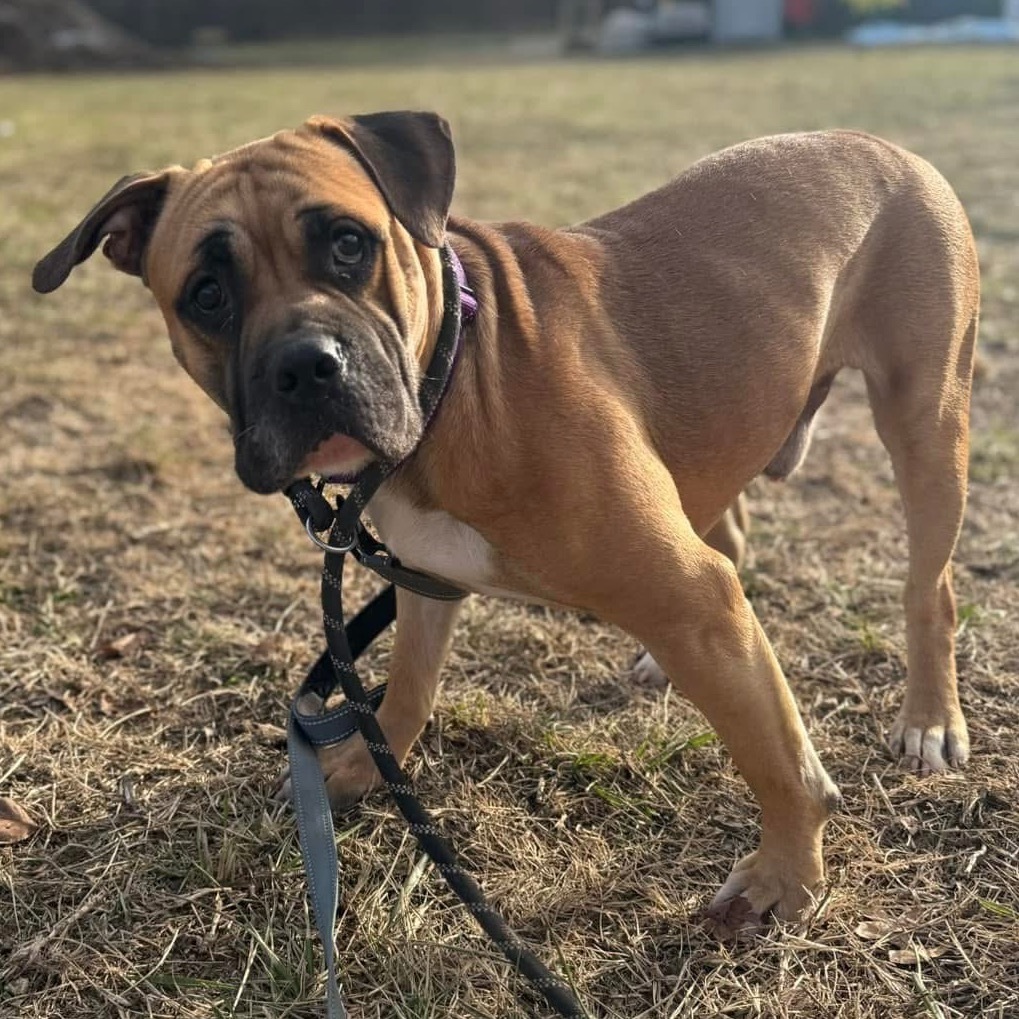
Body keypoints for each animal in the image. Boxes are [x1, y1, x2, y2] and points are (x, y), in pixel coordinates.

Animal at [29, 113, 978, 925]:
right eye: (206, 293)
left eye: (348, 243)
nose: (306, 364)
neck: (454, 377)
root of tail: (884, 145)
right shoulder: (425, 575)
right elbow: (405, 684)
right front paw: (362, 766)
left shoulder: (691, 593)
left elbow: (776, 759)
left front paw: (785, 876)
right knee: (731, 526)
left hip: (924, 423)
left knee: (927, 591)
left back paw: (928, 720)